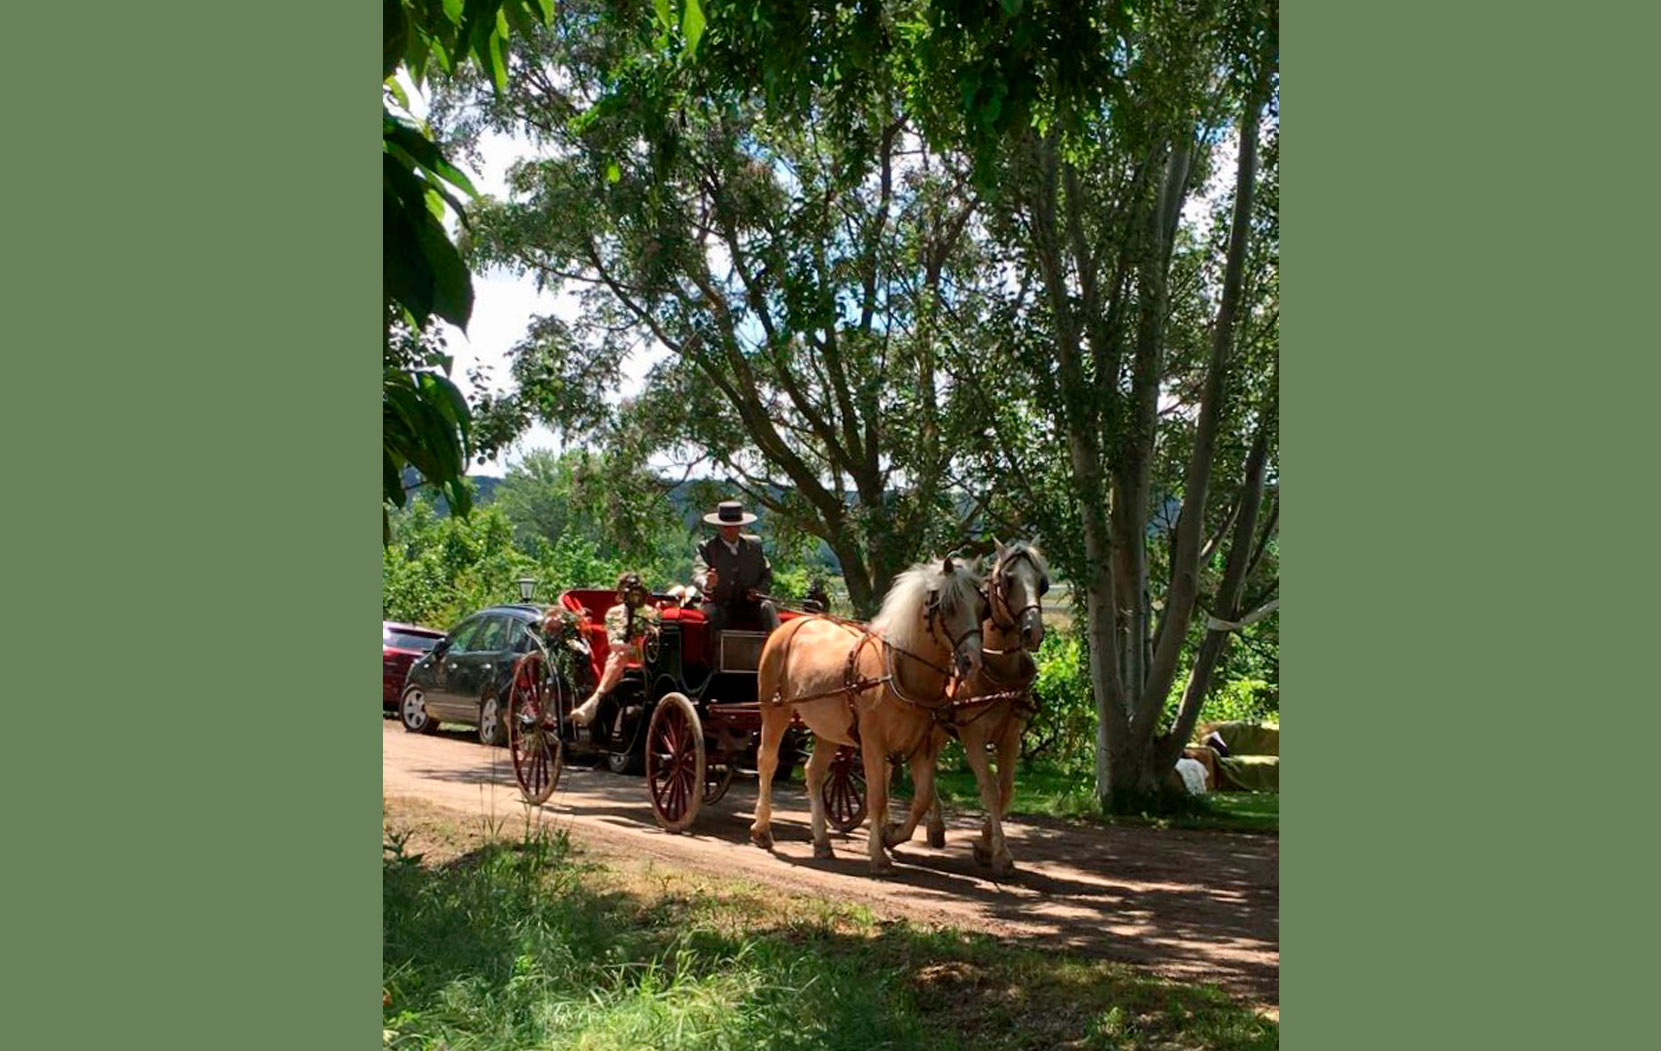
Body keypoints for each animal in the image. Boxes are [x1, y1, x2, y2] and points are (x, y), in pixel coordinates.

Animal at [754, 561, 983, 870]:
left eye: (982, 606)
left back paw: (822, 842)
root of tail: (791, 624)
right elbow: (877, 797)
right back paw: (762, 830)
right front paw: (878, 853)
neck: (898, 670)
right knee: (767, 760)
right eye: (949, 606)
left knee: (814, 772)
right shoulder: (874, 743)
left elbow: (921, 798)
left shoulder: (921, 747)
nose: (973, 661)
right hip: (775, 708)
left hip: (828, 729)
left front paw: (892, 836)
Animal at [916, 537, 1043, 870]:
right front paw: (1000, 853)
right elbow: (988, 787)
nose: (1033, 631)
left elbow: (1005, 788)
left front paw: (985, 845)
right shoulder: (972, 735)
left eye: (1042, 582)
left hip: (939, 729)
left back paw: (936, 827)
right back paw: (934, 824)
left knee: (928, 765)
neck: (999, 675)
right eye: (1007, 580)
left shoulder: (1010, 736)